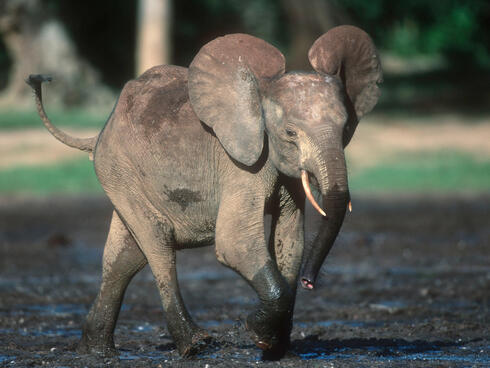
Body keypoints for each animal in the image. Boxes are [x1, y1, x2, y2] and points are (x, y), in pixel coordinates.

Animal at [26, 24, 380, 358]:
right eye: (290, 133)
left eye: (346, 127)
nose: (310, 282)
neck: (257, 95)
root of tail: (100, 132)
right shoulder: (241, 167)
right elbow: (234, 243)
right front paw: (257, 333)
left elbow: (289, 244)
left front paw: (277, 349)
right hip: (117, 168)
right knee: (157, 241)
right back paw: (196, 345)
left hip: (123, 175)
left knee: (126, 255)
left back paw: (97, 351)